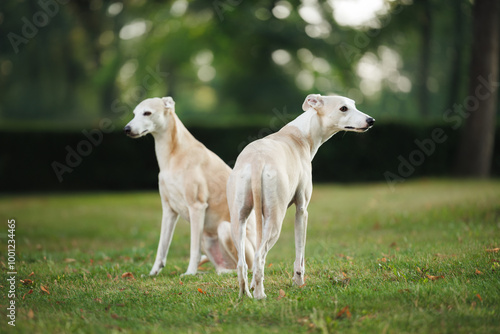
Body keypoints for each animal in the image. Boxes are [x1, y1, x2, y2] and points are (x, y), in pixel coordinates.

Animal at [125, 96, 258, 276]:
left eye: (147, 113)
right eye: (134, 113)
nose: (126, 129)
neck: (173, 154)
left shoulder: (196, 207)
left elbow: (193, 250)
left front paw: (189, 273)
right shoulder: (168, 210)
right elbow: (162, 247)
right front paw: (153, 272)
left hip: (225, 230)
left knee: (245, 267)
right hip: (207, 239)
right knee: (220, 268)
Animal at [229, 93, 374, 298]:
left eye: (353, 104)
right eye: (343, 108)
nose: (371, 121)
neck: (300, 135)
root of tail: (257, 160)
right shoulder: (302, 210)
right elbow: (300, 253)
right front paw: (299, 282)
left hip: (239, 219)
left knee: (243, 262)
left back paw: (245, 295)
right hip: (275, 220)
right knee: (259, 256)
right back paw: (260, 295)